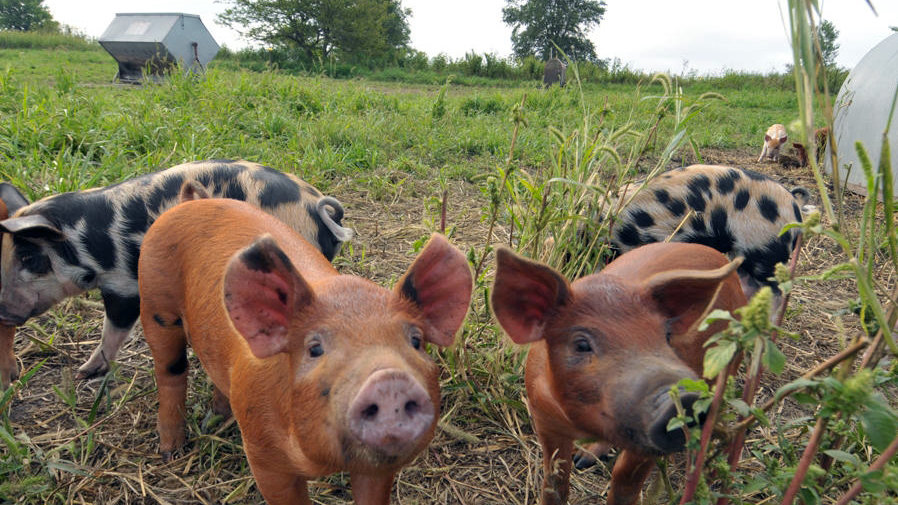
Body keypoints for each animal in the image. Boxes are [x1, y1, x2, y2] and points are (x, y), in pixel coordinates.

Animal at [0, 158, 354, 378]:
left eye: (28, 258)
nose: (4, 313)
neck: (88, 239)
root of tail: (318, 207)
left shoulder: (123, 284)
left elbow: (114, 327)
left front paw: (84, 372)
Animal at [137, 198, 472, 504]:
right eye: (315, 348)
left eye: (416, 341)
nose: (389, 379)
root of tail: (189, 201)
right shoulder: (263, 456)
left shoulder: (378, 466)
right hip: (155, 301)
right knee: (170, 372)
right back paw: (171, 451)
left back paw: (217, 417)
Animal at [486, 242, 744, 502]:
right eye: (581, 344)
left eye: (667, 336)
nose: (684, 397)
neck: (581, 424)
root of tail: (716, 254)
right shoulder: (544, 419)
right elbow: (555, 479)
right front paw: (573, 464)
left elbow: (624, 480)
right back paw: (583, 459)